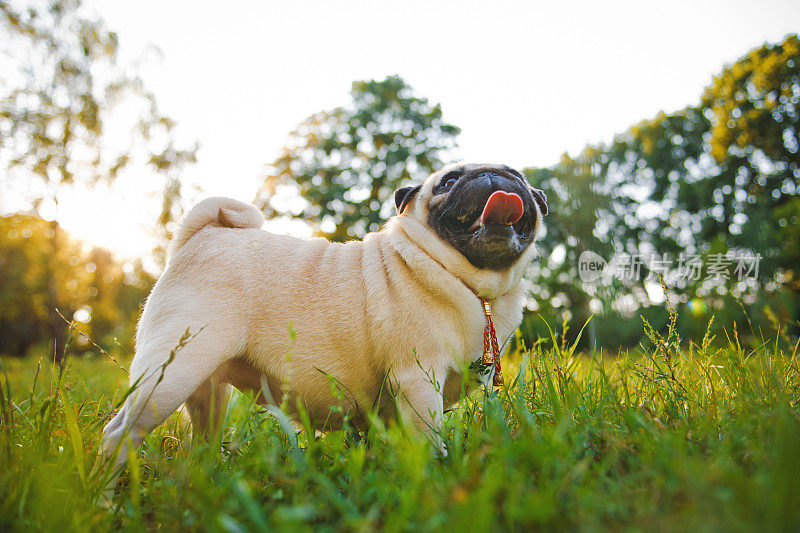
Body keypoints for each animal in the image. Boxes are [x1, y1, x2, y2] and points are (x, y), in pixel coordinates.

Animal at [100, 160, 548, 468]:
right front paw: (432, 474)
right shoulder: (418, 379)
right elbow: (426, 437)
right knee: (119, 432)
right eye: (450, 181)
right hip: (170, 374)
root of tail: (203, 235)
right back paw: (108, 494)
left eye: (517, 175)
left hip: (207, 390)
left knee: (203, 440)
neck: (473, 285)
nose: (492, 175)